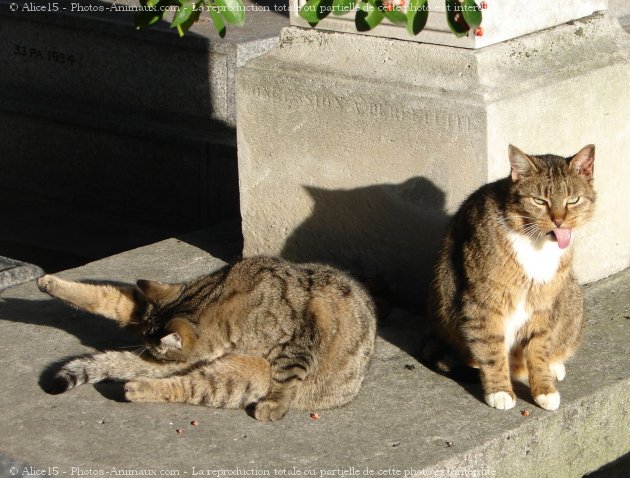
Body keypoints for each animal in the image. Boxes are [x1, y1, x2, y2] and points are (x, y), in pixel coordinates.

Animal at [39, 256, 378, 420]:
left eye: (159, 352)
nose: (151, 355)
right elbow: (109, 297)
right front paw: (48, 284)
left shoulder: (298, 342)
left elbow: (286, 377)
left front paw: (274, 405)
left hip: (247, 374)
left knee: (188, 385)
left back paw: (137, 387)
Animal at [424, 142, 596, 410]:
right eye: (539, 201)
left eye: (573, 200)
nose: (559, 221)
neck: (536, 244)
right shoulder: (482, 302)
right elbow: (490, 347)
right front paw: (499, 391)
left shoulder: (544, 305)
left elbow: (538, 348)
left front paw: (544, 388)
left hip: (571, 295)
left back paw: (553, 365)